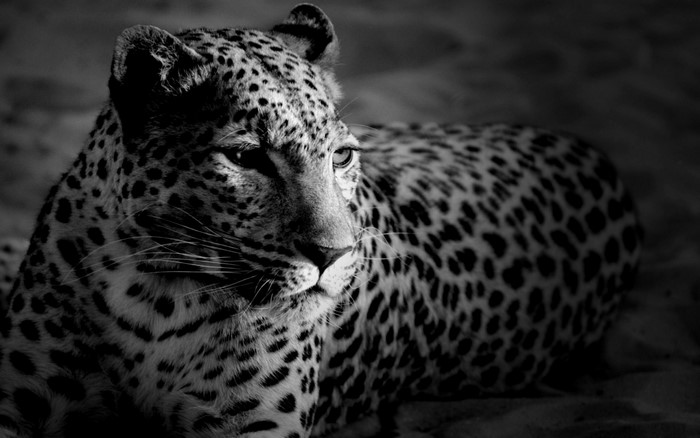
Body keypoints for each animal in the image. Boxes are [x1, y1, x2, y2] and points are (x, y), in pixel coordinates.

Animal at [0, 4, 642, 438]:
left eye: (342, 156)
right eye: (246, 158)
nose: (334, 257)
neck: (154, 296)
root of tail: (590, 152)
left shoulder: (251, 427)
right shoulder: (18, 397)